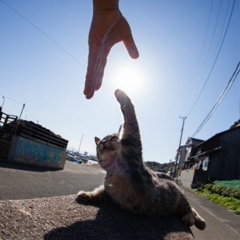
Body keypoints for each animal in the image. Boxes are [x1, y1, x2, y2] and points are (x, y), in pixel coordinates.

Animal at [77, 88, 206, 231]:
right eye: (101, 142)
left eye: (112, 138)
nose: (104, 142)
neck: (113, 167)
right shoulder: (108, 194)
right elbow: (97, 193)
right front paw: (86, 195)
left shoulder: (132, 144)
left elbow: (129, 114)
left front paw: (120, 93)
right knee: (191, 210)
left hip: (180, 198)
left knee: (189, 210)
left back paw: (193, 220)